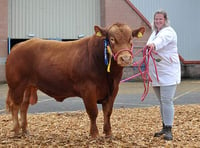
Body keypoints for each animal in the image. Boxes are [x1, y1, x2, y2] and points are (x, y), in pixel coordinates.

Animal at [5, 22, 145, 138]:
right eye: (112, 39)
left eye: (130, 39)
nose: (125, 58)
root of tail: (18, 46)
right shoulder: (88, 89)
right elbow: (93, 112)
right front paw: (94, 134)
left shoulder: (113, 89)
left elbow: (108, 112)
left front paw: (108, 133)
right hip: (16, 85)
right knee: (15, 106)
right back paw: (16, 131)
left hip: (28, 86)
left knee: (24, 106)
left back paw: (25, 130)